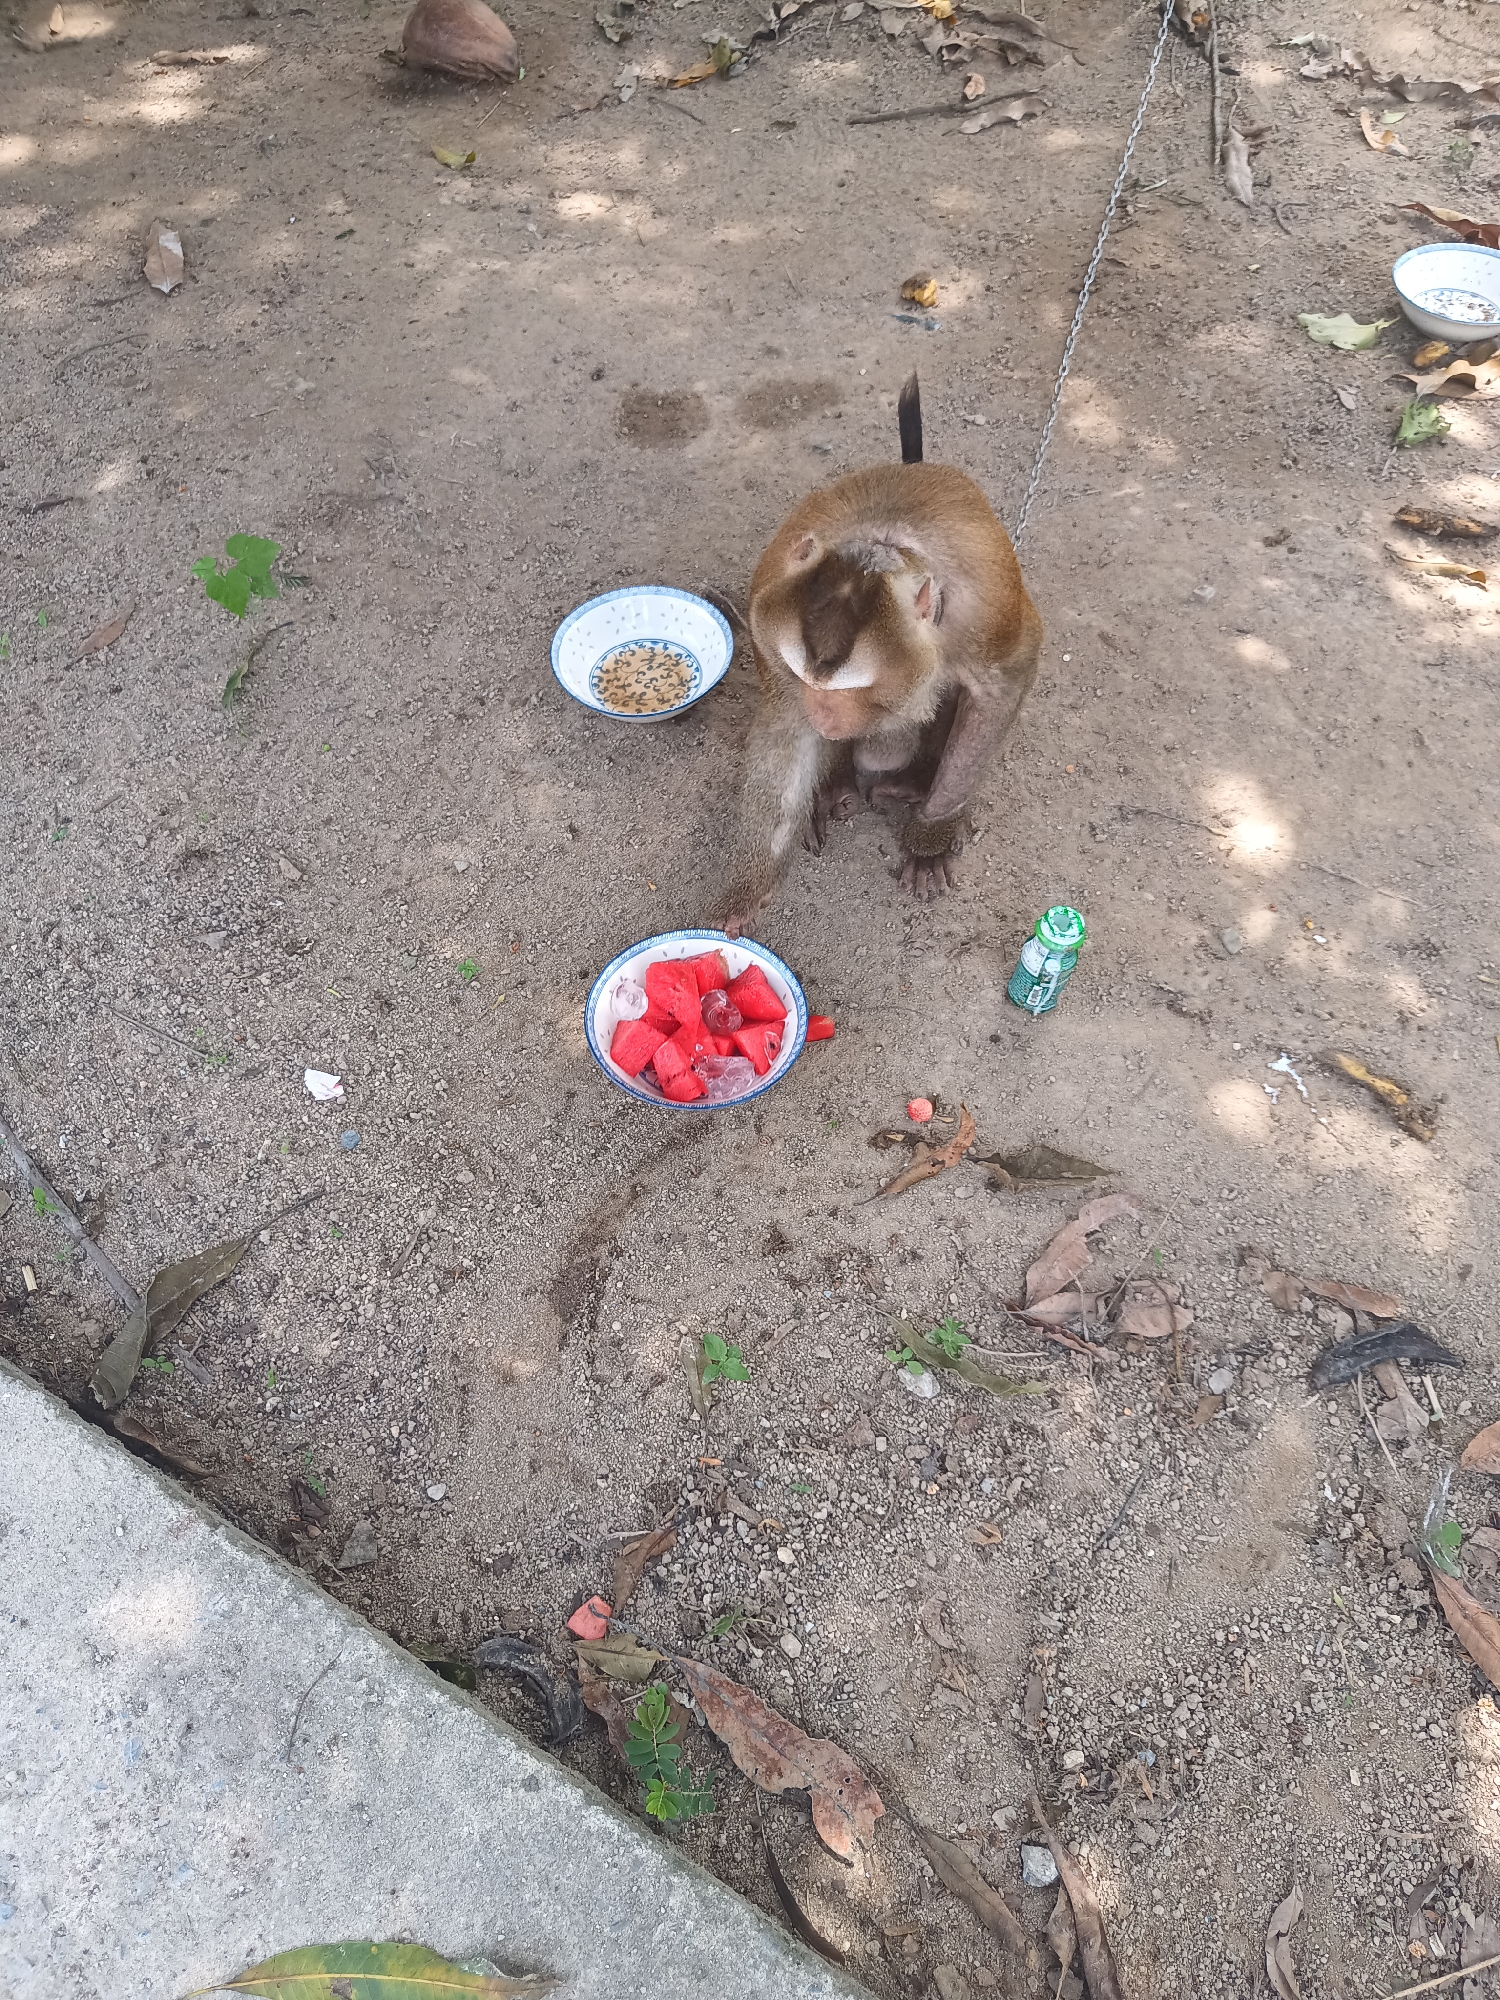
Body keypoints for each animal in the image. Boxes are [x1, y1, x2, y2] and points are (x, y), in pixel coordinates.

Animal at [712, 373, 1043, 938]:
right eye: (810, 684)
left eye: (855, 689)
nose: (824, 715)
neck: (890, 545)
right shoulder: (769, 611)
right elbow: (786, 725)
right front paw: (748, 892)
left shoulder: (988, 616)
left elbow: (1001, 686)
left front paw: (931, 834)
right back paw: (832, 789)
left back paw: (909, 786)